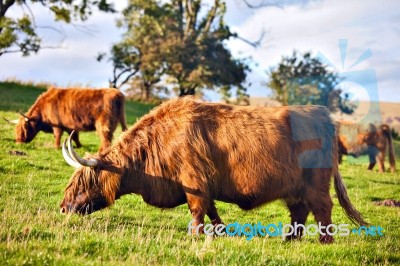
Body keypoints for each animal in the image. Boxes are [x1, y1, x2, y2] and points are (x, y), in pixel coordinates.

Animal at [59, 97, 366, 243]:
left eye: (81, 184)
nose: (62, 208)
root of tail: (324, 116)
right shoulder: (204, 184)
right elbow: (211, 209)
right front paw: (220, 231)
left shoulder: (194, 181)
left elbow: (197, 209)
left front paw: (196, 234)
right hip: (295, 188)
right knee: (299, 211)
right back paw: (289, 239)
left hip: (316, 184)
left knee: (322, 209)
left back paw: (325, 241)